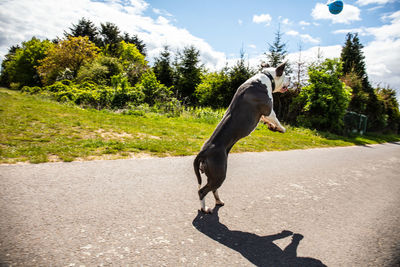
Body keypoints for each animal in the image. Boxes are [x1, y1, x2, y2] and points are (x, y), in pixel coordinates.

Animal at [193, 61, 288, 214]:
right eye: (286, 75)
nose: (291, 80)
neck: (266, 77)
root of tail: (204, 152)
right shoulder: (269, 110)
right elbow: (276, 119)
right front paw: (281, 128)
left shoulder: (263, 115)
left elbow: (267, 121)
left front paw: (272, 127)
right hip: (219, 173)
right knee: (202, 191)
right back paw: (204, 208)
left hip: (213, 174)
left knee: (212, 189)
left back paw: (218, 201)